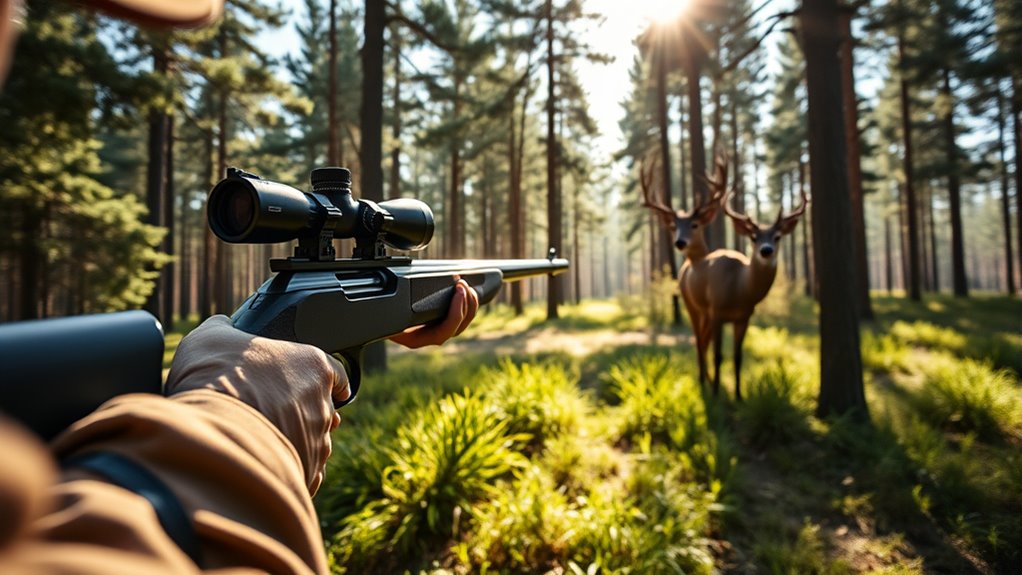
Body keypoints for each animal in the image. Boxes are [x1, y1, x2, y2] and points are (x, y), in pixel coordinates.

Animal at [640, 153, 808, 400]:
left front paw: (738, 395)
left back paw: (708, 379)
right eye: (753, 237)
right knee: (699, 340)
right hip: (692, 305)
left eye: (777, 237)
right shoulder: (717, 312)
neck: (740, 289)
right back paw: (703, 381)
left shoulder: (743, 318)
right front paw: (717, 393)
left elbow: (737, 357)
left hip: (706, 313)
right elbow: (719, 355)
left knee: (704, 340)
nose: (766, 250)